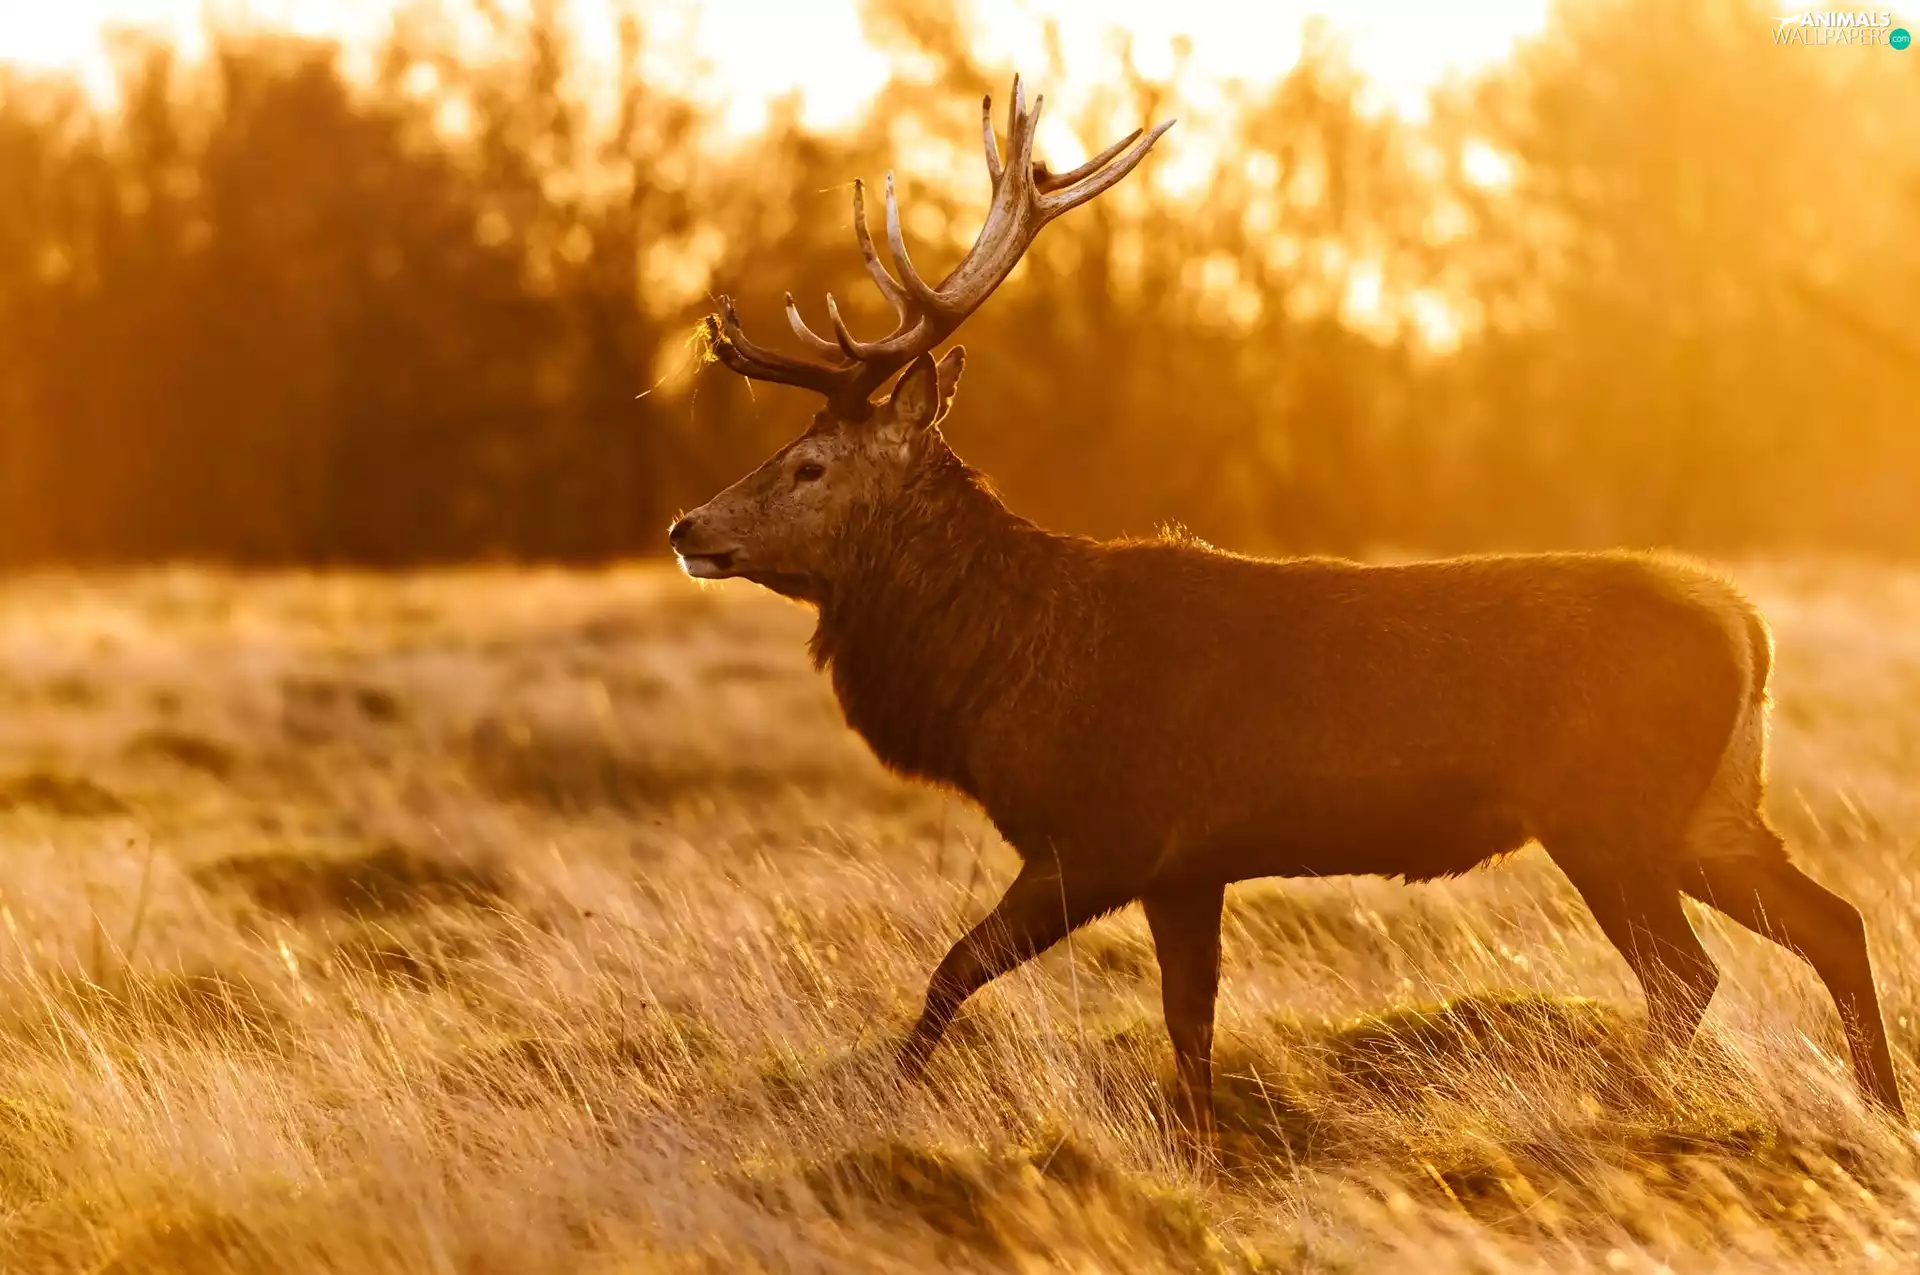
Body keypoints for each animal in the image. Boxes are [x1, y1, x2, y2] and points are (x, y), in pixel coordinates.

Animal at [667, 76, 1906, 1147]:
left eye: (812, 464)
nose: (688, 526)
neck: (1007, 673)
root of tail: (1746, 624)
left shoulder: (1105, 834)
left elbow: (954, 971)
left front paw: (887, 1106)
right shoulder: (1187, 864)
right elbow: (1189, 1028)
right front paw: (1200, 1155)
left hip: (1609, 810)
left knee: (1689, 972)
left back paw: (1621, 1103)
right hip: (1712, 806)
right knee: (1833, 921)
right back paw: (1880, 1113)